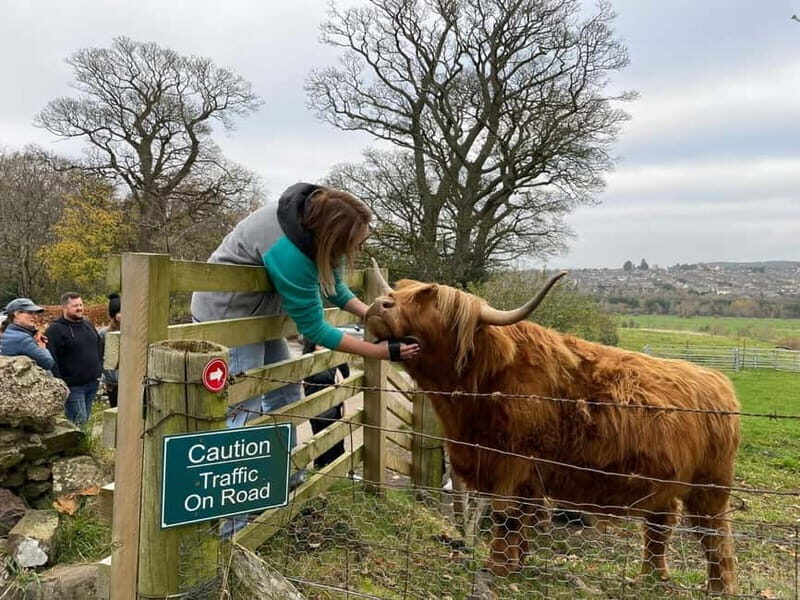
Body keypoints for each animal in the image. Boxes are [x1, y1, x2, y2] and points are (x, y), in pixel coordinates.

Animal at [365, 263, 739, 594]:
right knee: (660, 527)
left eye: (432, 302)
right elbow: (524, 516)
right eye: (399, 292)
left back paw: (718, 587)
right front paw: (518, 561)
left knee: (714, 535)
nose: (381, 304)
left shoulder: (513, 462)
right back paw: (650, 578)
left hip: (710, 486)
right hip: (665, 485)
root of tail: (718, 381)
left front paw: (497, 565)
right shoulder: (523, 472)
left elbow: (505, 515)